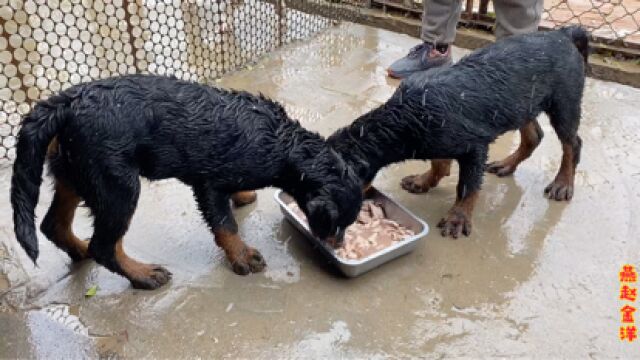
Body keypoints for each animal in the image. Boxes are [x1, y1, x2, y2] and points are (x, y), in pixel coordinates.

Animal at [11, 75, 360, 290]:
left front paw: (243, 194)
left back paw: (80, 250)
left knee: (54, 225)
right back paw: (143, 275)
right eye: (336, 225)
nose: (338, 246)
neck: (281, 144)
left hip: (74, 170)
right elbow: (226, 225)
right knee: (105, 246)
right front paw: (243, 257)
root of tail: (66, 102)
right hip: (116, 184)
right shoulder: (209, 184)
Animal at [330, 26, 592, 239]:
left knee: (572, 143)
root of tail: (563, 34)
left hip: (564, 102)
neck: (408, 115)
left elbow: (467, 186)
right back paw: (507, 164)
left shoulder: (475, 148)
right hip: (522, 104)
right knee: (534, 136)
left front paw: (458, 218)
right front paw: (423, 181)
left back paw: (562, 183)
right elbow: (439, 163)